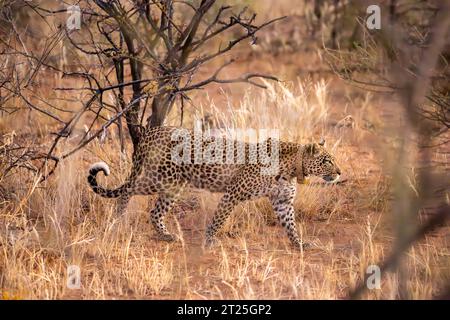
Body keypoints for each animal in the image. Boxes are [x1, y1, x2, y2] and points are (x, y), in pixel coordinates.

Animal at [88, 125, 342, 250]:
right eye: (327, 160)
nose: (340, 172)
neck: (291, 169)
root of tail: (153, 131)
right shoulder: (233, 193)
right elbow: (219, 219)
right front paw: (209, 241)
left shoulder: (282, 202)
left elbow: (291, 225)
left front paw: (299, 244)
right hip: (162, 179)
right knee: (128, 190)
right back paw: (118, 218)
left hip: (173, 184)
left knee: (154, 211)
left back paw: (167, 236)